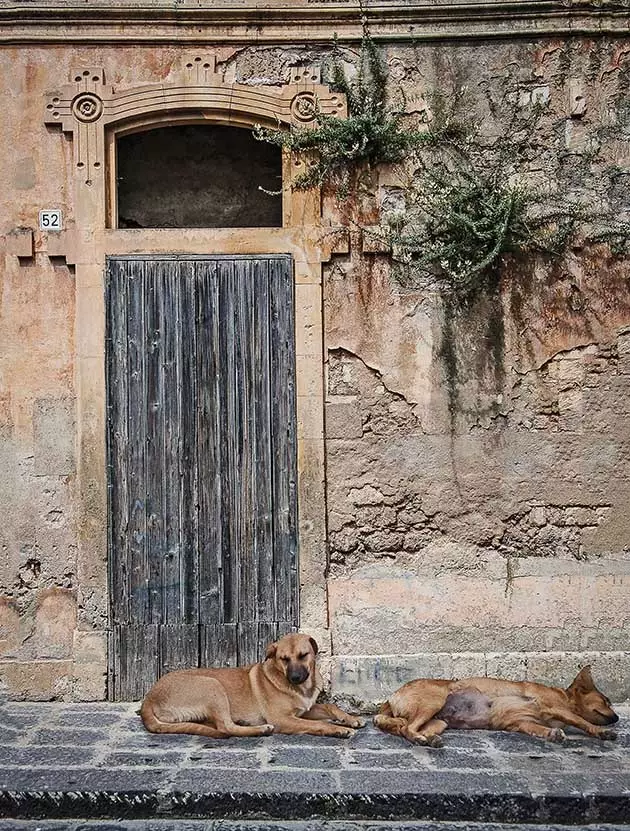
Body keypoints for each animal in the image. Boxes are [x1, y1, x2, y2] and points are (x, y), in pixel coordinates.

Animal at [138, 632, 366, 736]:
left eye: (303, 655)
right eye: (284, 659)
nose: (294, 678)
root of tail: (149, 698)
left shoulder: (305, 710)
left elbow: (330, 706)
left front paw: (350, 719)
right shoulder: (283, 719)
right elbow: (318, 724)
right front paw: (337, 729)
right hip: (212, 686)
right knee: (226, 727)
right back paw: (260, 729)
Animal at [378, 668, 620, 752]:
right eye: (606, 701)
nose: (617, 717)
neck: (565, 697)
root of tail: (392, 696)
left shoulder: (523, 723)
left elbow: (540, 730)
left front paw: (552, 734)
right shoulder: (554, 707)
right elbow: (583, 722)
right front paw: (602, 733)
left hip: (439, 721)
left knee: (410, 728)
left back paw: (430, 740)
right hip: (432, 703)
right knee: (406, 728)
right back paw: (419, 739)